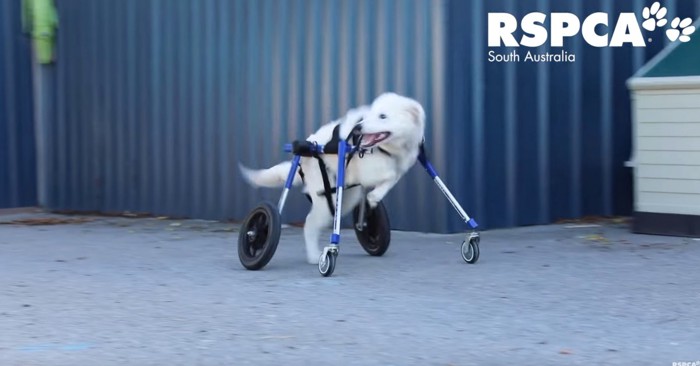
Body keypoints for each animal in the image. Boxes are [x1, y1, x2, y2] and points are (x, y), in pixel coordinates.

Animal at [239, 91, 426, 264]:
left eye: (382, 116)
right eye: (371, 115)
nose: (358, 128)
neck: (390, 149)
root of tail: (306, 150)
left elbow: (394, 176)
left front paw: (373, 200)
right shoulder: (369, 169)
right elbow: (390, 176)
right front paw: (374, 196)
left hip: (346, 197)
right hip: (326, 198)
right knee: (309, 223)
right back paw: (315, 256)